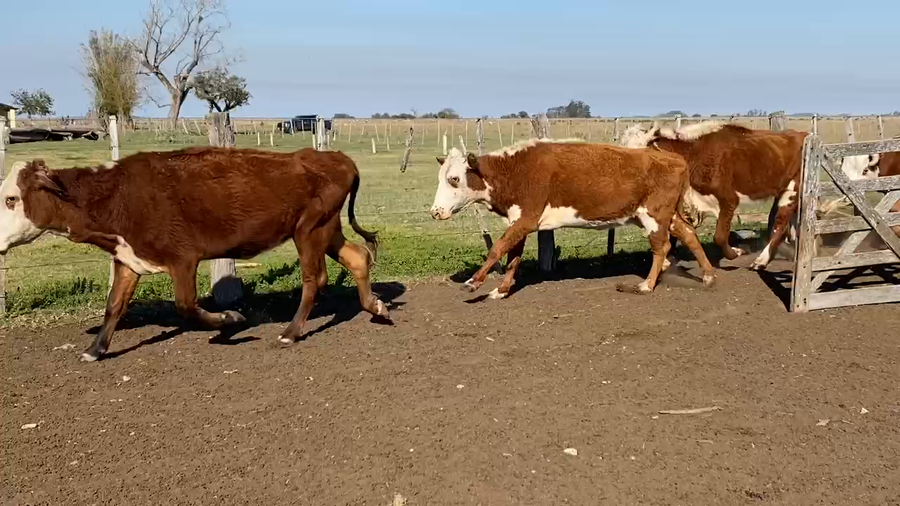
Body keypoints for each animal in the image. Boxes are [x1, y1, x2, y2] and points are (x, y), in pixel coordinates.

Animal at [0, 146, 390, 362]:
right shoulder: (127, 258)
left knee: (314, 278)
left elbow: (186, 306)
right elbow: (114, 305)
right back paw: (376, 307)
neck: (118, 195)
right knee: (357, 257)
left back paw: (291, 332)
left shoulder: (182, 258)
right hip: (326, 228)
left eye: (11, 198)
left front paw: (231, 319)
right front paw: (95, 350)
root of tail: (337, 159)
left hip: (308, 230)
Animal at [428, 139, 716, 299]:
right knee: (689, 234)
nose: (435, 211)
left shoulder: (526, 219)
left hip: (654, 215)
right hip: (667, 215)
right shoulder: (518, 220)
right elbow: (513, 257)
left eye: (454, 179)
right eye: (442, 177)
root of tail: (674, 157)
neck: (514, 171)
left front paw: (473, 283)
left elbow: (497, 249)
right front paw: (501, 290)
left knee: (662, 247)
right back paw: (708, 276)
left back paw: (646, 285)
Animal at [619, 121, 808, 271]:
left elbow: (720, 236)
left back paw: (761, 261)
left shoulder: (729, 199)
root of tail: (802, 134)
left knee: (779, 225)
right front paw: (666, 260)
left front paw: (736, 252)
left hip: (792, 190)